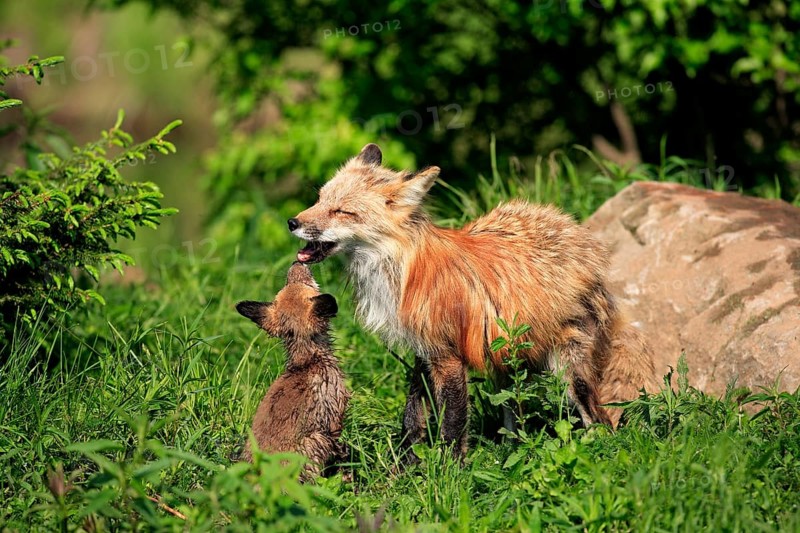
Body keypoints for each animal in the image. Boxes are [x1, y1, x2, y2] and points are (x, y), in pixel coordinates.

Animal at [236, 262, 350, 480]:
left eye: (287, 284)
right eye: (309, 285)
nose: (297, 263)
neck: (307, 361)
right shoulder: (334, 417)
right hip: (316, 442)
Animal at [288, 143, 657, 460]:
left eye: (342, 211)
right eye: (319, 200)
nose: (292, 222)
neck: (402, 272)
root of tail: (576, 231)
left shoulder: (449, 356)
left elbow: (452, 425)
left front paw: (450, 473)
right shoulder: (425, 352)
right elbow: (412, 418)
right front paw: (403, 469)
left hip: (568, 372)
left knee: (600, 421)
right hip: (508, 361)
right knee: (514, 416)